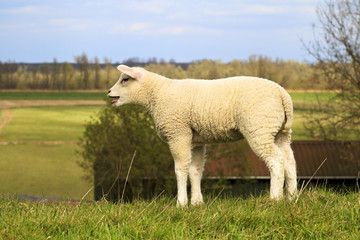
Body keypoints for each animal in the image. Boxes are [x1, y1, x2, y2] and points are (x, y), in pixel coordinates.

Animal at [107, 64, 298, 207]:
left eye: (125, 79)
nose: (109, 92)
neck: (158, 94)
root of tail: (283, 94)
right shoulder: (196, 141)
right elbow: (195, 171)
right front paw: (197, 203)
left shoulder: (178, 133)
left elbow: (180, 170)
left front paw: (181, 203)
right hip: (280, 132)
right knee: (289, 160)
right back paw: (292, 197)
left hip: (259, 128)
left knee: (276, 161)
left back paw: (275, 198)